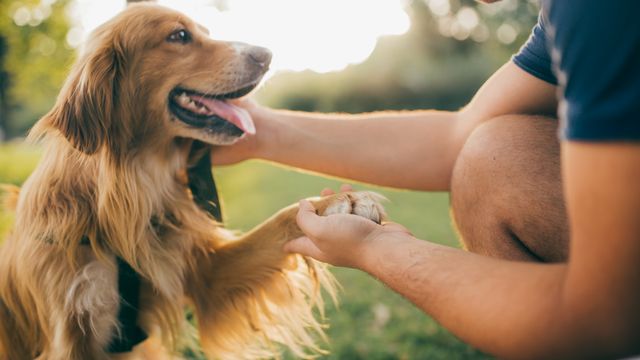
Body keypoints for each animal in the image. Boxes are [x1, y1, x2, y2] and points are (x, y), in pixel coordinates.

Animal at [0, 3, 384, 360]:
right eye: (179, 35)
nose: (267, 55)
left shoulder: (205, 274)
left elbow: (281, 221)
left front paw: (336, 205)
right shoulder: (69, 332)